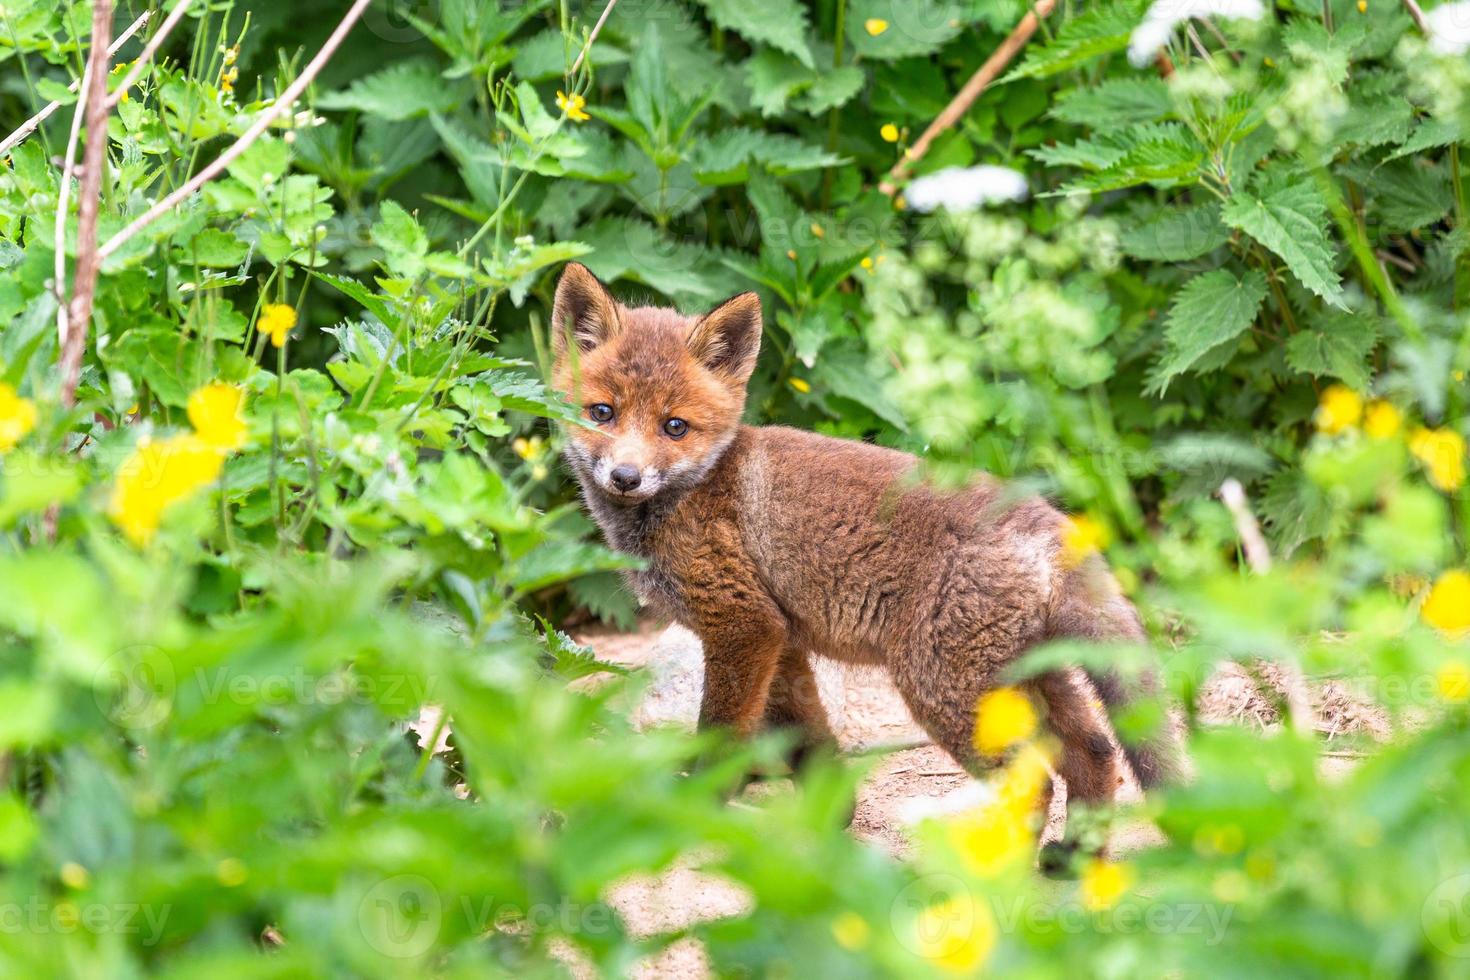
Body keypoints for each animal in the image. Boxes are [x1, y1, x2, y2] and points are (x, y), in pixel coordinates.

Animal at [546, 262, 1176, 822]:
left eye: (674, 426)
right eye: (602, 413)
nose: (626, 477)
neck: (696, 489)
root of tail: (1050, 522)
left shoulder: (744, 625)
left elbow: (721, 740)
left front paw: (696, 807)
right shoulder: (784, 639)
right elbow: (809, 740)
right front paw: (832, 822)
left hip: (940, 688)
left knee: (1036, 782)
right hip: (1026, 675)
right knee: (1096, 754)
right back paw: (1067, 870)